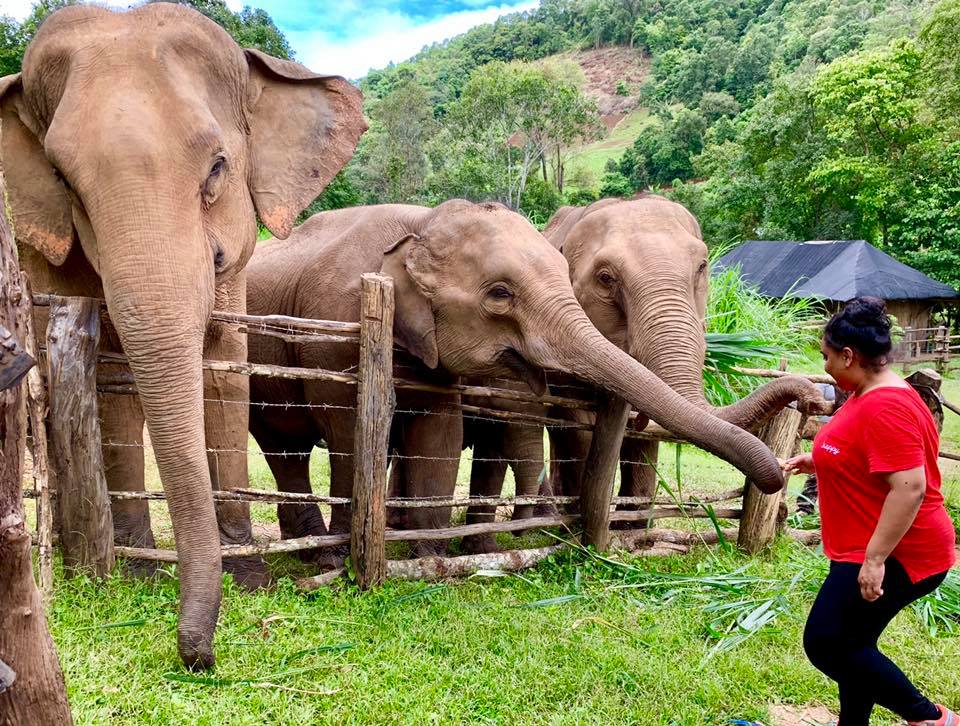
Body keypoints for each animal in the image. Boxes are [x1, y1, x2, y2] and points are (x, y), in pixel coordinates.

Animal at [0, 1, 366, 672]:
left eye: (218, 165)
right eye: (64, 181)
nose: (199, 656)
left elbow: (223, 368)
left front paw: (250, 577)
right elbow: (110, 380)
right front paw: (138, 576)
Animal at [244, 200, 784, 564]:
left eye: (703, 268)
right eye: (500, 294)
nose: (780, 474)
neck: (421, 226)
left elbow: (441, 437)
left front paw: (430, 558)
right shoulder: (331, 333)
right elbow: (347, 431)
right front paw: (359, 558)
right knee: (284, 446)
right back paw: (316, 552)